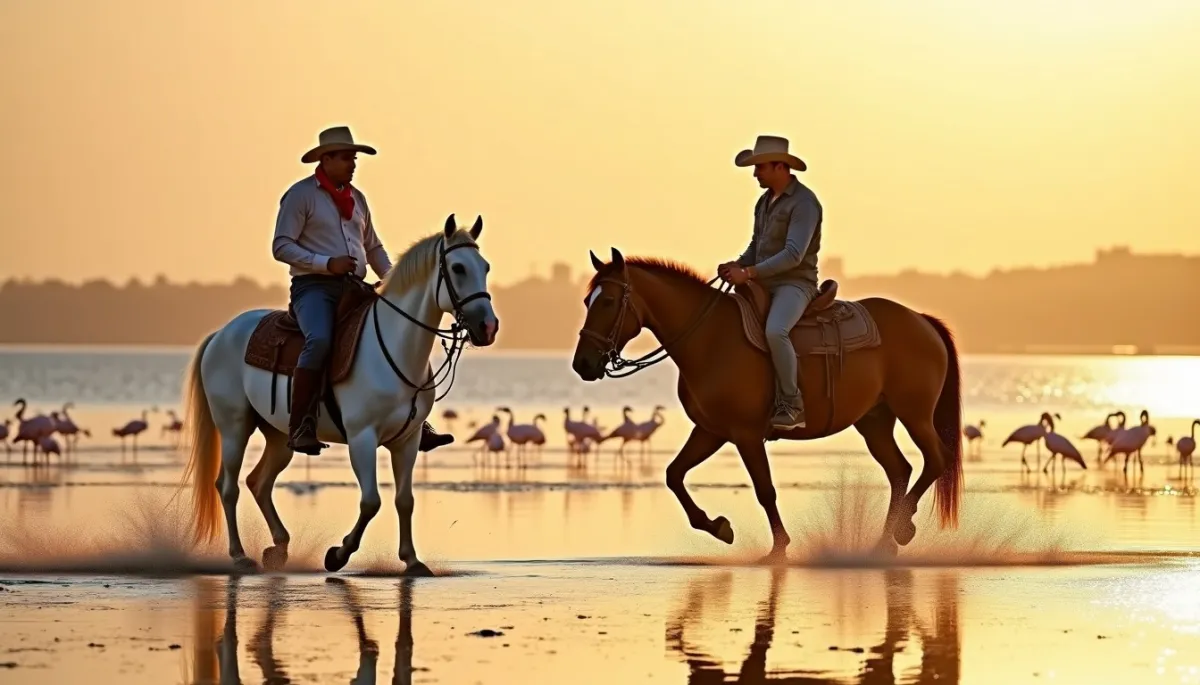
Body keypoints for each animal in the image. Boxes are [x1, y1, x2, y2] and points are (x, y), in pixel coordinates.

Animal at [179, 215, 498, 575]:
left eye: (485, 266)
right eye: (457, 267)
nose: (488, 327)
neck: (395, 348)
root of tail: (221, 334)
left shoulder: (408, 440)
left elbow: (405, 500)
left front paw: (412, 561)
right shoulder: (362, 438)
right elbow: (371, 501)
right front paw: (338, 554)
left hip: (279, 436)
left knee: (259, 482)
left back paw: (278, 548)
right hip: (235, 427)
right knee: (228, 486)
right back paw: (239, 555)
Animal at [572, 249, 962, 560]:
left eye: (608, 302)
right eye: (587, 302)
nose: (583, 364)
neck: (709, 337)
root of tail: (923, 321)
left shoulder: (745, 435)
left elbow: (765, 489)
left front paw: (778, 548)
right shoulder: (711, 430)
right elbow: (674, 475)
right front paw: (718, 527)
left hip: (914, 414)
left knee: (936, 459)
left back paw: (902, 530)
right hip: (875, 421)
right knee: (899, 470)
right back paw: (885, 542)